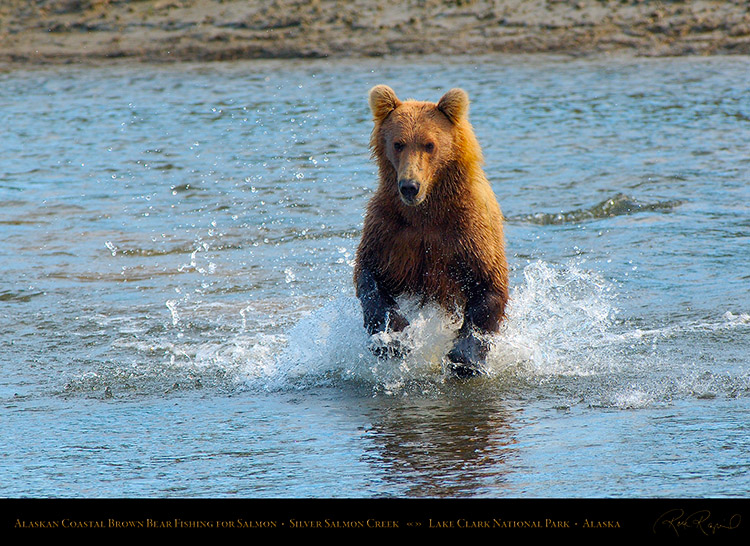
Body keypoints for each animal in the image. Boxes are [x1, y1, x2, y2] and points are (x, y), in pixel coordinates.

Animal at [354, 85, 512, 376]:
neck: (427, 212)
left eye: (429, 144)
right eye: (398, 143)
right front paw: (393, 339)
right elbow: (368, 276)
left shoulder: (469, 233)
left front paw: (464, 358)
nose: (409, 186)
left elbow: (489, 286)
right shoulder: (390, 231)